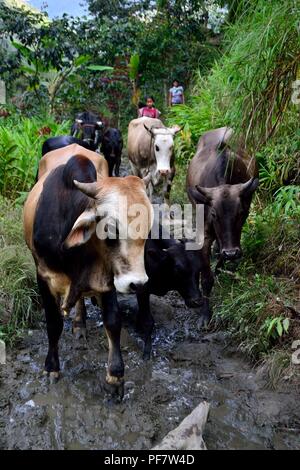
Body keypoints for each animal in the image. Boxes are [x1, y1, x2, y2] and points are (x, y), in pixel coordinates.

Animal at [188, 126, 258, 324]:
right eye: (214, 214)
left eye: (241, 213)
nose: (231, 253)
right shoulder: (204, 233)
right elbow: (206, 278)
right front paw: (205, 314)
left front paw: (221, 265)